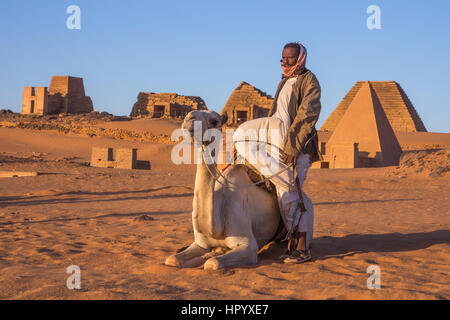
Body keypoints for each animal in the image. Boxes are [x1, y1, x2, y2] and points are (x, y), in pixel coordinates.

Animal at [165, 110, 312, 270]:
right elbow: (172, 259)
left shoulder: (249, 245)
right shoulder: (200, 243)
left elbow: (213, 263)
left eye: (214, 121)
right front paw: (207, 254)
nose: (189, 118)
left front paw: (210, 257)